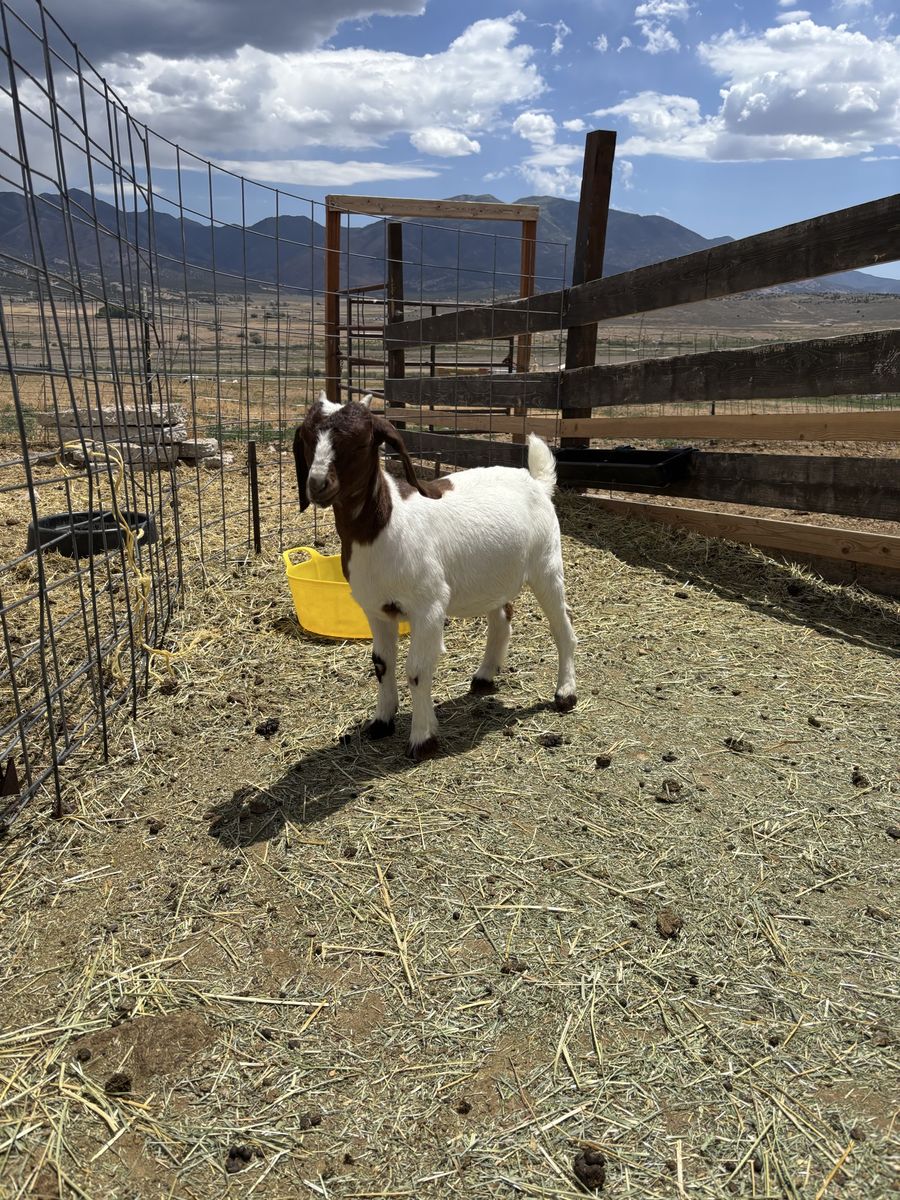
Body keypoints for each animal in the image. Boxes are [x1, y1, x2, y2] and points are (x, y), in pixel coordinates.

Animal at [293, 392, 576, 760]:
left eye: (360, 442)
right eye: (307, 438)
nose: (317, 485)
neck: (385, 525)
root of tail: (537, 482)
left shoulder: (428, 606)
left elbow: (416, 670)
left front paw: (422, 738)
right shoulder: (375, 609)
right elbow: (381, 664)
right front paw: (381, 723)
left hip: (546, 564)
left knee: (562, 628)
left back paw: (565, 693)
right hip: (493, 575)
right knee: (502, 617)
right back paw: (484, 676)